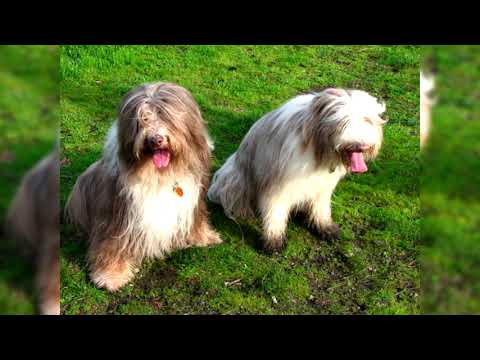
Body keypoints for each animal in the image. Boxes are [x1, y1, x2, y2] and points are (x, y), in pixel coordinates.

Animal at [65, 82, 221, 292]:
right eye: (142, 120)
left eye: (166, 116)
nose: (156, 139)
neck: (160, 175)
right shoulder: (118, 215)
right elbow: (112, 244)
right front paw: (111, 276)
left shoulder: (193, 201)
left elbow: (197, 220)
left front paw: (204, 237)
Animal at [208, 88, 388, 253]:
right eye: (343, 122)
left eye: (367, 120)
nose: (361, 145)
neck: (318, 148)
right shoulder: (277, 185)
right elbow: (275, 212)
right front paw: (273, 241)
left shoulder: (323, 185)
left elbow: (321, 208)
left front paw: (325, 228)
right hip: (235, 178)